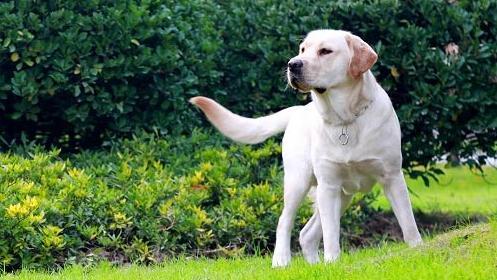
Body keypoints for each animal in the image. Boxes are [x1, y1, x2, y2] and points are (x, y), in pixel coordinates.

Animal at [188, 29, 420, 268]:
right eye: (302, 49)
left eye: (325, 51)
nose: (292, 64)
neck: (345, 120)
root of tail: (299, 110)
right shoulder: (328, 185)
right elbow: (330, 234)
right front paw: (333, 262)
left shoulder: (392, 177)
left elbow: (408, 223)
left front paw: (417, 251)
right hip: (298, 182)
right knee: (285, 222)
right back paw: (281, 260)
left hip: (343, 195)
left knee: (307, 234)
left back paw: (314, 265)